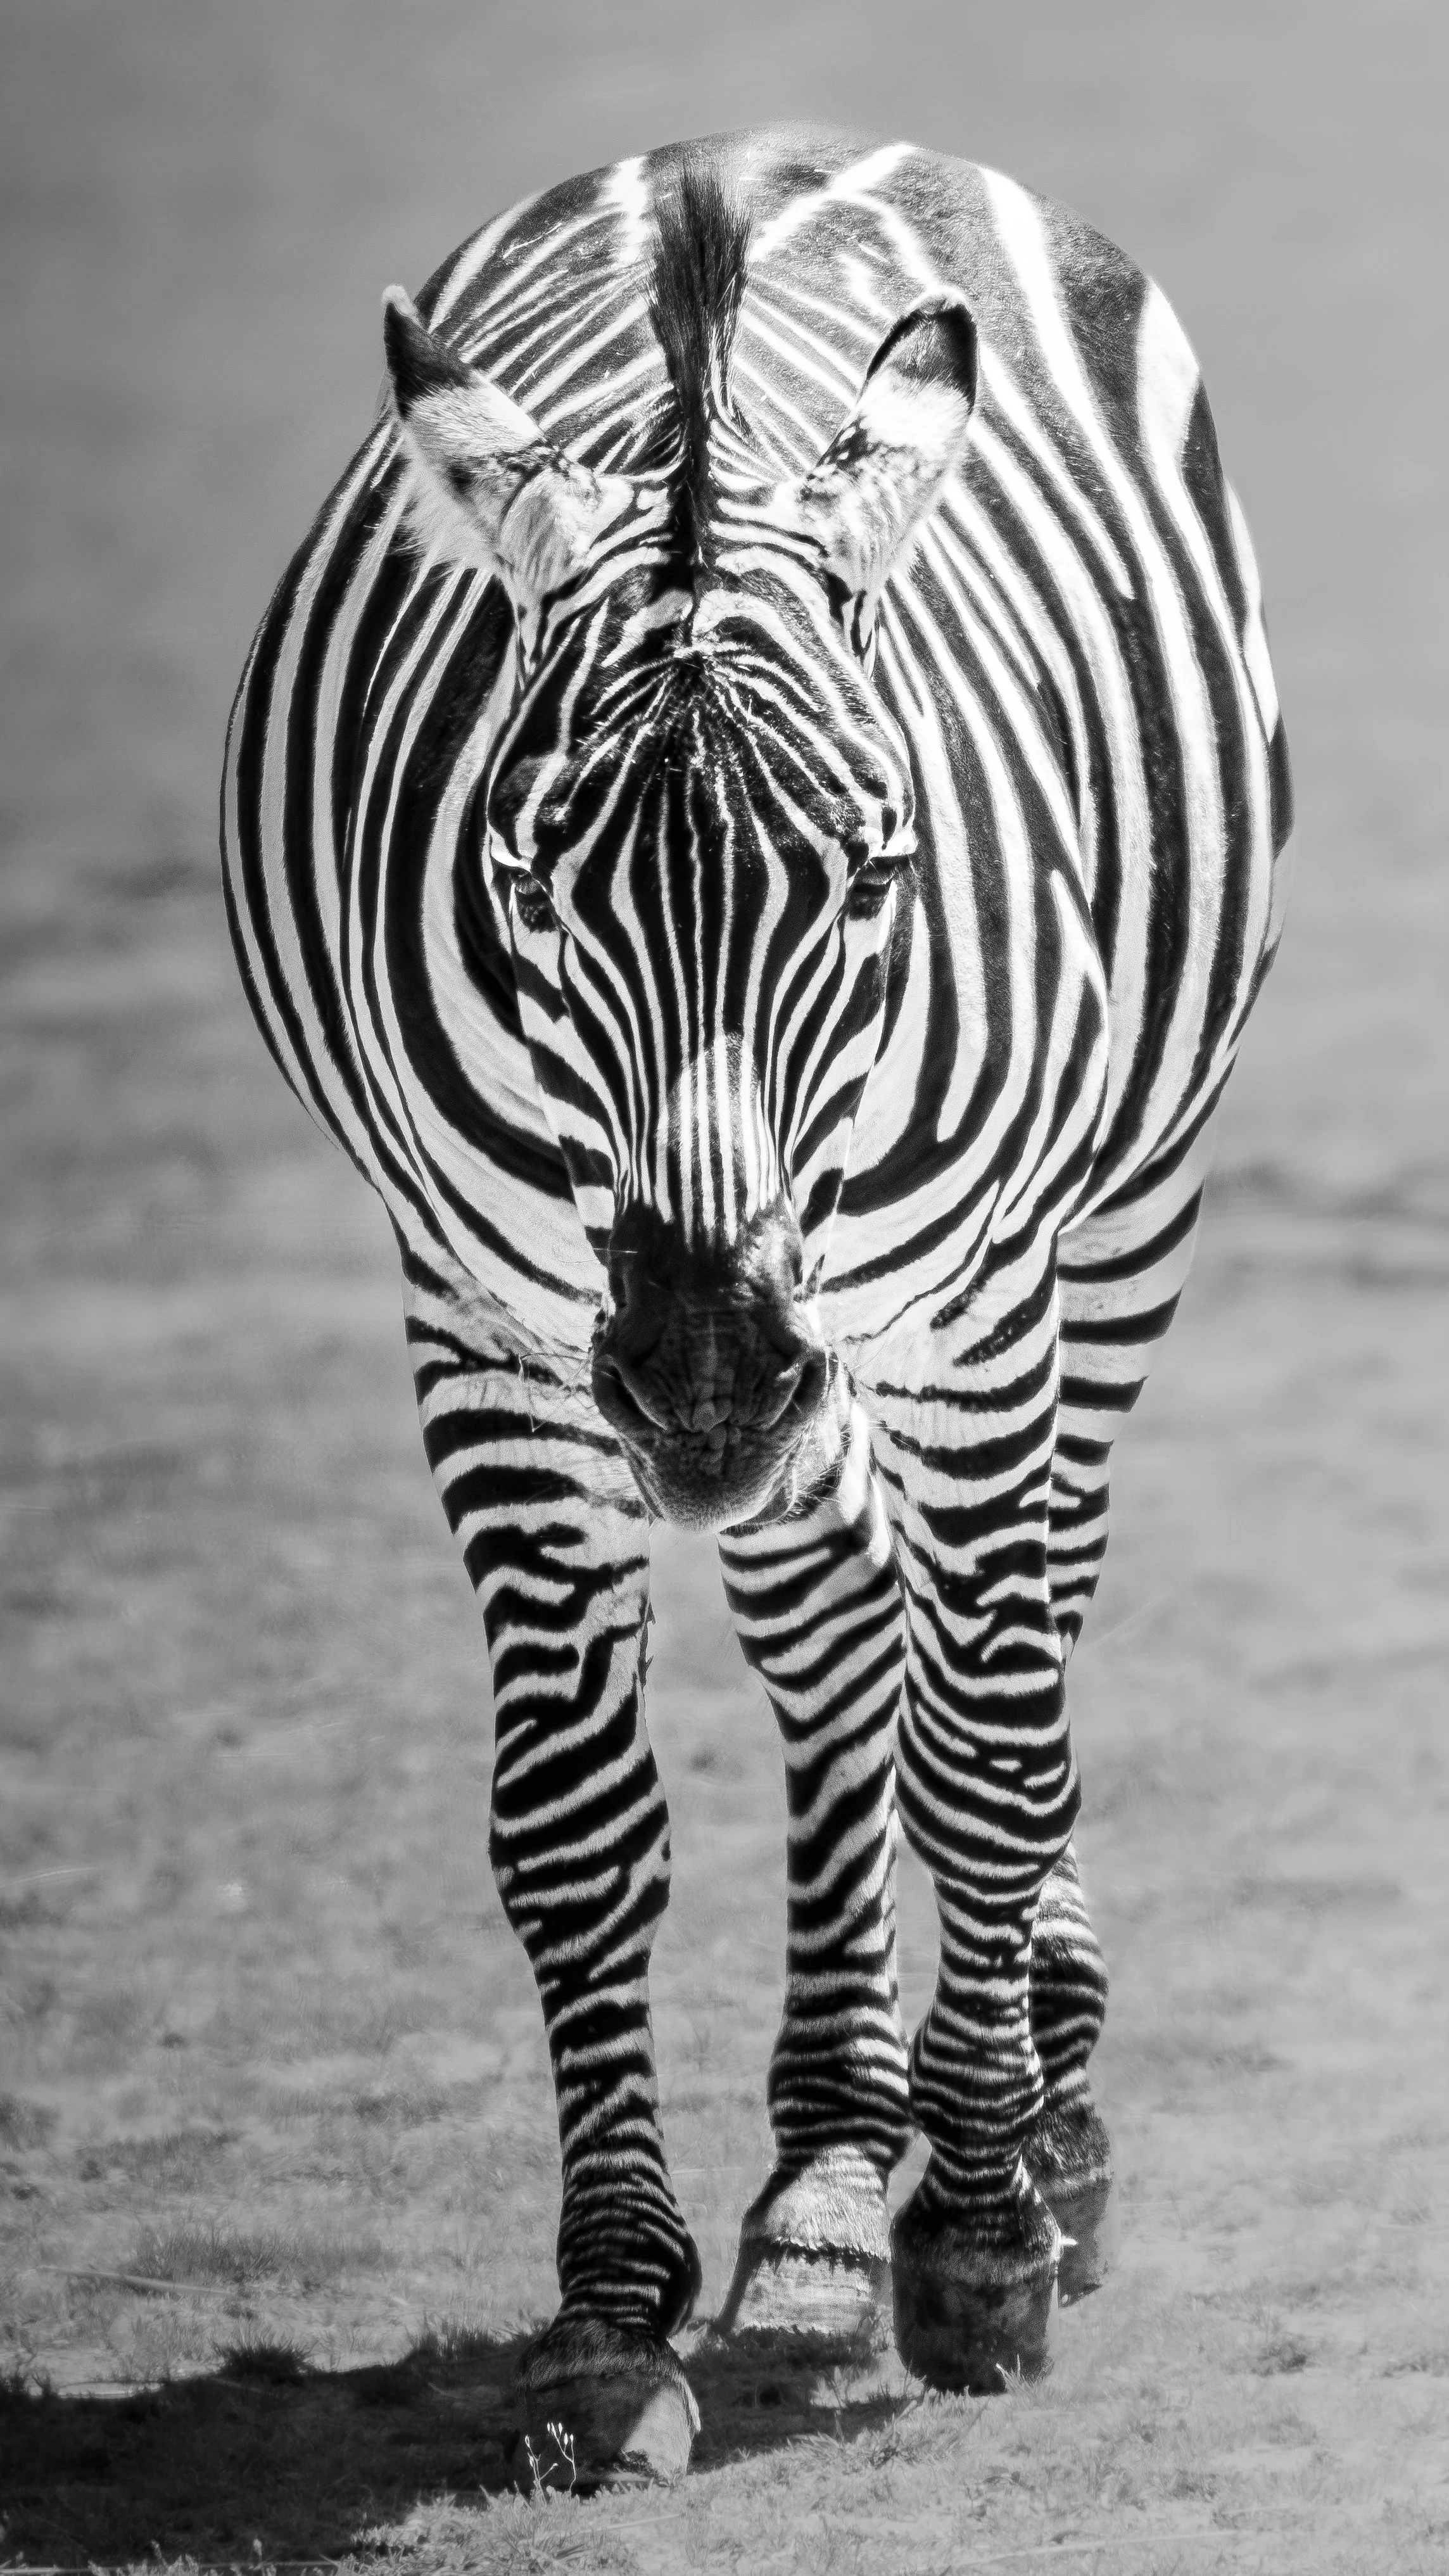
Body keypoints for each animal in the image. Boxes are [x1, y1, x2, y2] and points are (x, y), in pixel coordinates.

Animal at [222, 127, 1291, 2478]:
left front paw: (979, 2229)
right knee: (828, 1655)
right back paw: (815, 2175)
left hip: (1114, 1230)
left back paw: (1037, 2100)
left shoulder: (977, 1307)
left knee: (1024, 1622)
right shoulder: (494, 1326)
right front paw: (611, 2308)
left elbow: (984, 1741)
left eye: (875, 869)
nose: (705, 1368)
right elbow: (576, 1820)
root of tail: (747, 153)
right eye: (527, 878)